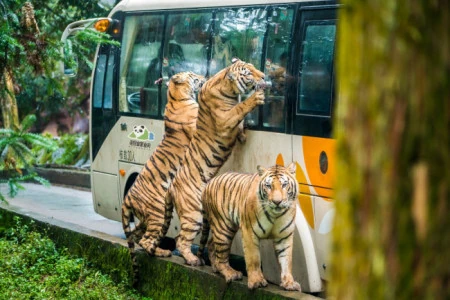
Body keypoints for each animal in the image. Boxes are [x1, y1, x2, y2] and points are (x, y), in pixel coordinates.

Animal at [121, 71, 206, 260]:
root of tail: (127, 198)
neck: (175, 97)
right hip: (158, 213)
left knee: (137, 237)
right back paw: (163, 252)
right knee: (146, 239)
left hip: (147, 218)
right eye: (193, 75)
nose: (205, 78)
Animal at [161, 58, 266, 264]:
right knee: (181, 240)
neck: (230, 89)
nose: (265, 76)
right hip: (193, 214)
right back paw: (193, 260)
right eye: (249, 72)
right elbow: (240, 109)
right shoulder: (225, 119)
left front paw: (243, 134)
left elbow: (240, 124)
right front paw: (256, 98)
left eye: (254, 67)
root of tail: (171, 187)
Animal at [198, 163, 300, 292]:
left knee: (211, 243)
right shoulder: (249, 231)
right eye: (268, 186)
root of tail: (209, 183)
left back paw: (215, 267)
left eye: (284, 185)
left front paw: (289, 283)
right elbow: (253, 258)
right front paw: (256, 281)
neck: (275, 215)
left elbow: (286, 259)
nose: (277, 202)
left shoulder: (284, 236)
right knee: (221, 255)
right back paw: (231, 273)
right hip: (223, 228)